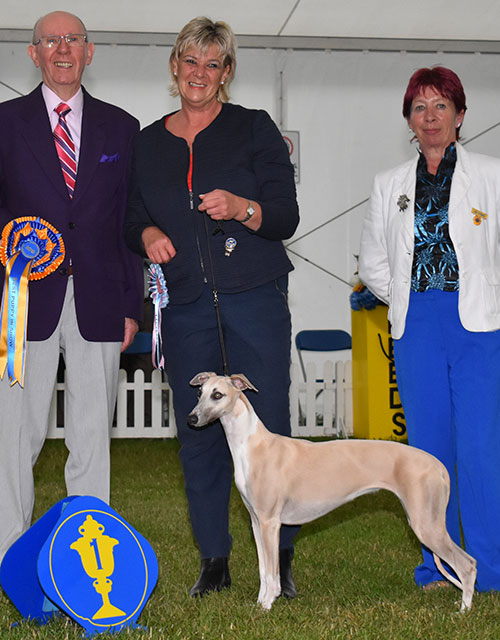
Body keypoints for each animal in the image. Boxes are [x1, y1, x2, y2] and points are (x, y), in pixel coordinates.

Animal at [187, 372, 476, 612]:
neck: (251, 445)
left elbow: (273, 573)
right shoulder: (257, 523)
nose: (191, 418)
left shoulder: (270, 523)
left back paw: (463, 611)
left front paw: (267, 606)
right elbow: (263, 570)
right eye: (199, 392)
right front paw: (258, 604)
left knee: (467, 565)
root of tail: (437, 464)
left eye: (217, 394)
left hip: (426, 525)